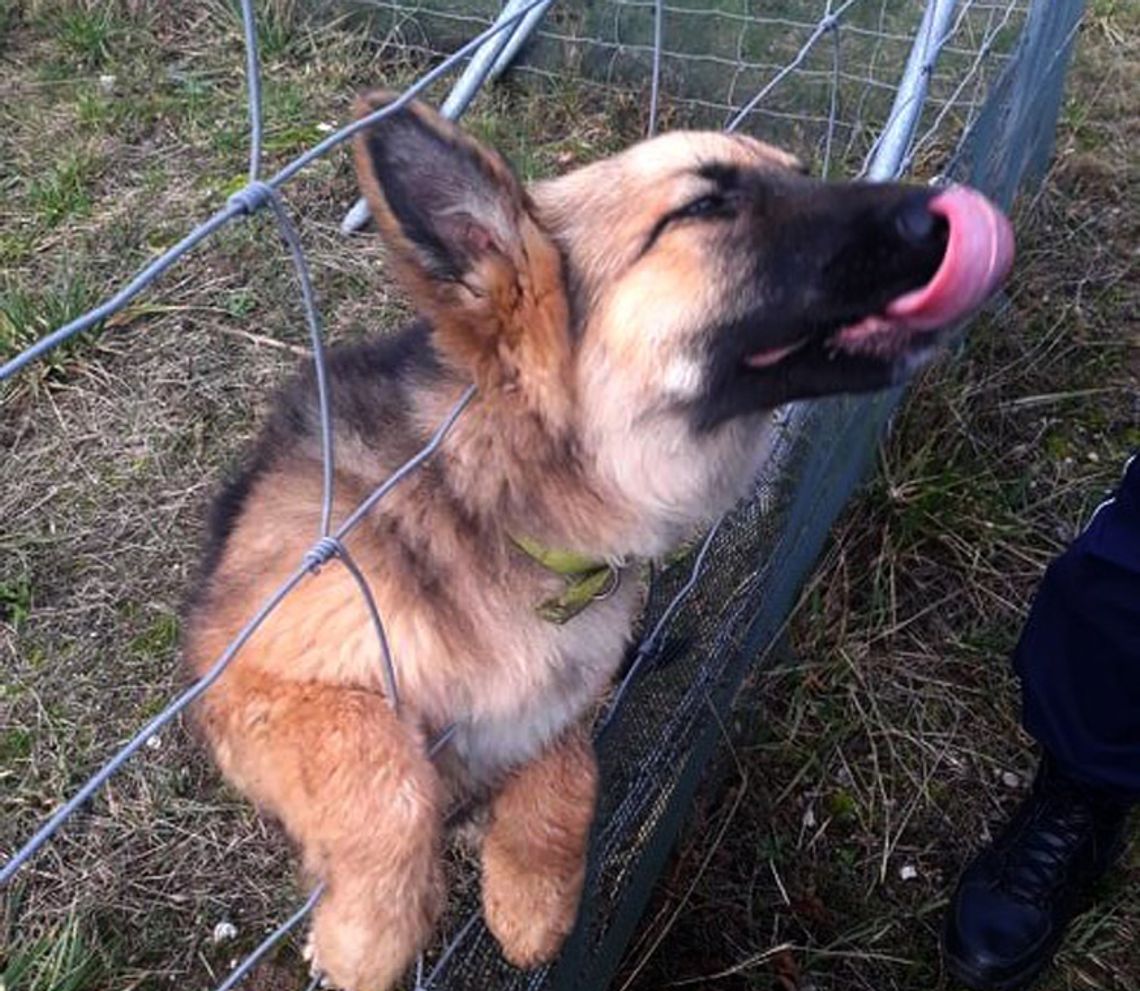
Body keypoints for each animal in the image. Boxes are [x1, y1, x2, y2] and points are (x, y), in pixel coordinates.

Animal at [184, 94, 1016, 989]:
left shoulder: (567, 690)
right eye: (704, 207)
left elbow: (570, 775)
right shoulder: (246, 674)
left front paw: (533, 900)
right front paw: (363, 933)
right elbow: (381, 767)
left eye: (799, 174)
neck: (502, 500)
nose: (951, 211)